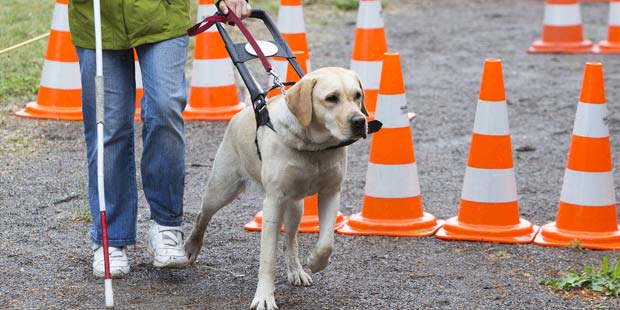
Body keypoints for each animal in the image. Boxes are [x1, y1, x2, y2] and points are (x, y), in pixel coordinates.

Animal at [184, 66, 368, 308]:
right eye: (331, 98)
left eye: (358, 96)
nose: (360, 121)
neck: (314, 147)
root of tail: (244, 111)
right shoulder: (273, 202)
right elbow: (268, 257)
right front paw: (264, 297)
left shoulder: (331, 193)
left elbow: (326, 243)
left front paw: (315, 262)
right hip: (221, 189)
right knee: (202, 215)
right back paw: (191, 246)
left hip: (295, 207)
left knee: (290, 241)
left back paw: (296, 270)